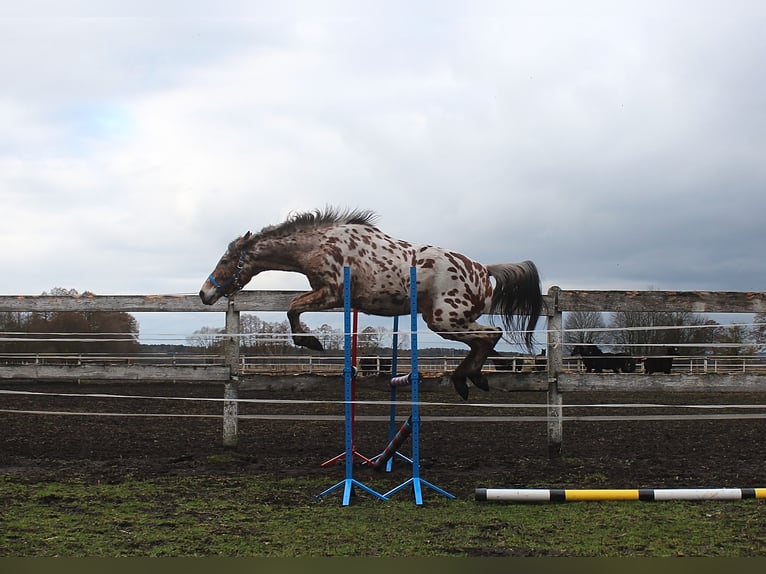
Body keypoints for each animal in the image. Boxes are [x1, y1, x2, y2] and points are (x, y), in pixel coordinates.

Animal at [200, 207, 544, 400]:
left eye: (226, 260)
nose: (205, 293)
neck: (319, 244)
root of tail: (485, 269)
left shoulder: (331, 293)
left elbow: (293, 307)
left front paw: (310, 342)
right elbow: (294, 308)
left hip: (445, 319)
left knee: (490, 335)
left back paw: (465, 379)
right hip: (447, 320)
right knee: (486, 339)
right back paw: (471, 379)